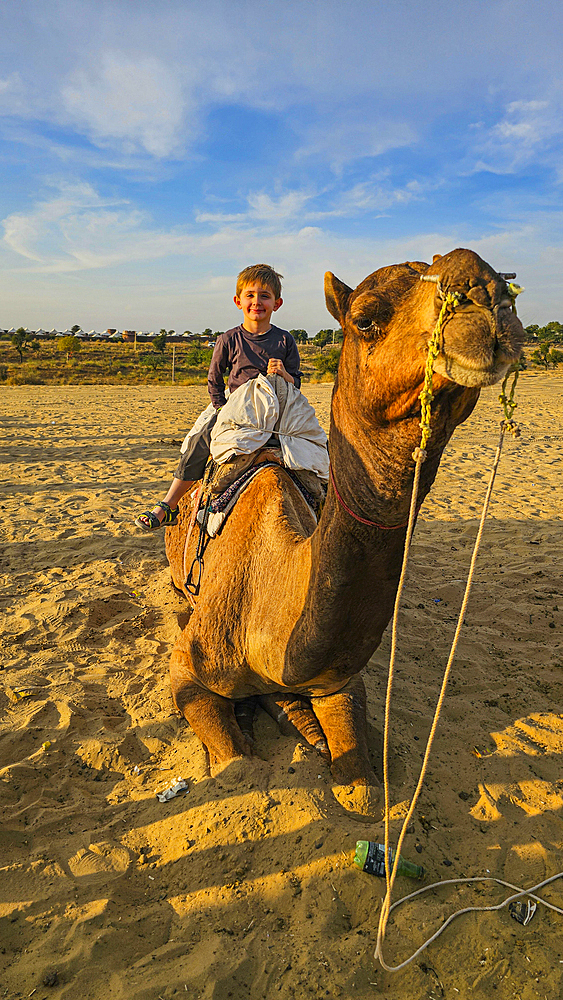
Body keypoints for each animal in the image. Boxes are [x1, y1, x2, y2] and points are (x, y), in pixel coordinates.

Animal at [165, 248, 528, 812]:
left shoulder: (340, 679)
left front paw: (323, 743)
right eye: (366, 319)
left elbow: (362, 784)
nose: (487, 296)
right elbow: (236, 762)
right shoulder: (186, 666)